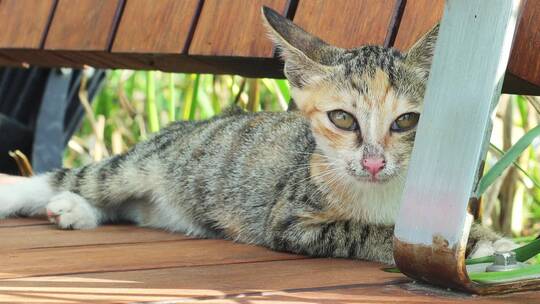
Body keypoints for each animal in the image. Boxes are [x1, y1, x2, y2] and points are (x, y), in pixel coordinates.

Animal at [0, 7, 510, 264]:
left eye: (405, 122)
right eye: (343, 119)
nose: (372, 162)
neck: (385, 193)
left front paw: (492, 241)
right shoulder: (288, 220)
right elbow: (360, 231)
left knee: (122, 206)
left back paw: (75, 211)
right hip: (142, 164)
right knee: (79, 177)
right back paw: (32, 195)